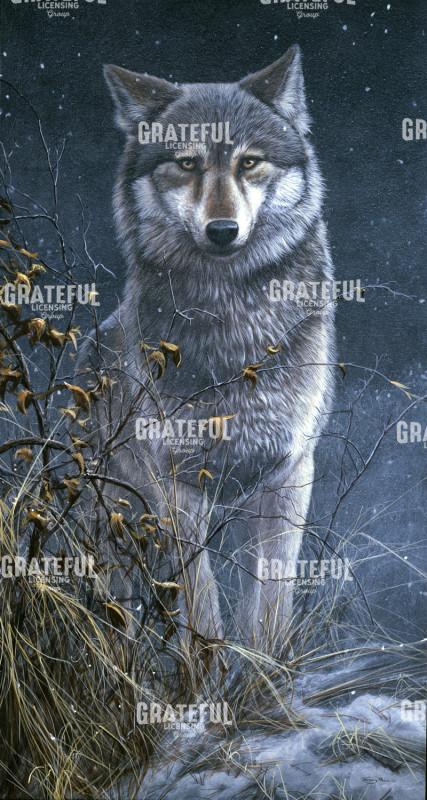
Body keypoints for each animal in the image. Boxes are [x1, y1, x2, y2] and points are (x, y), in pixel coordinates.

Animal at [77, 46, 335, 656]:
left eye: (249, 163)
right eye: (188, 163)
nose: (222, 230)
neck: (232, 327)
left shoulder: (290, 473)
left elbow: (269, 609)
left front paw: (266, 680)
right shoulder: (176, 485)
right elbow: (204, 607)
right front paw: (207, 678)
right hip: (112, 520)